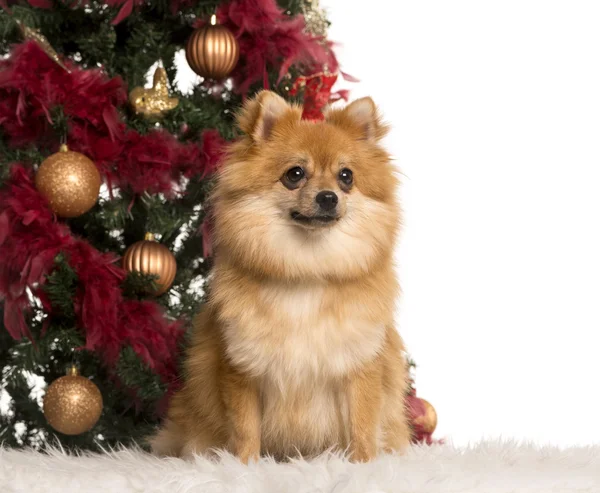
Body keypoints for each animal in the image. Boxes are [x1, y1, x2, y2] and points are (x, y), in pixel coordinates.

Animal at [152, 90, 410, 464]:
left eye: (346, 176)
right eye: (295, 174)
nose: (328, 197)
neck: (307, 268)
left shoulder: (359, 365)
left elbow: (363, 425)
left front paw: (364, 465)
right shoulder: (242, 366)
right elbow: (245, 429)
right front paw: (243, 466)